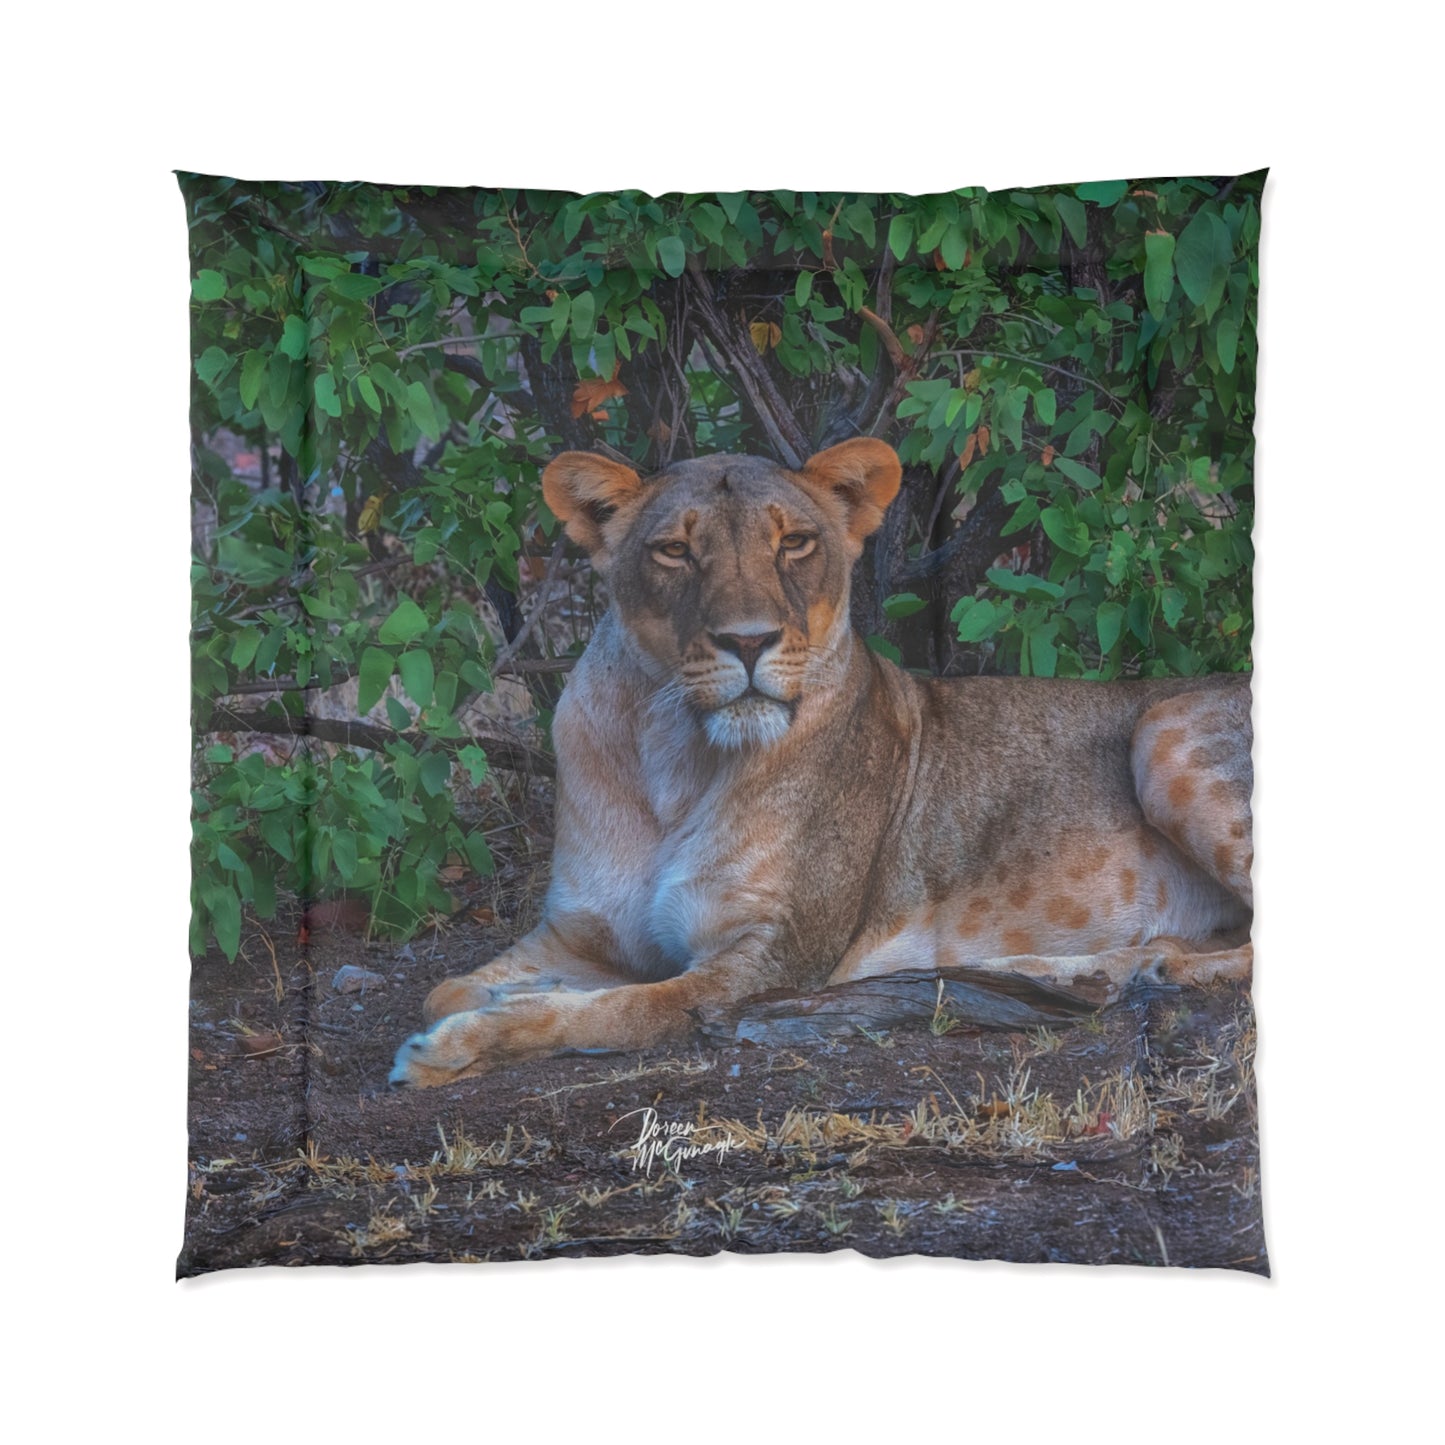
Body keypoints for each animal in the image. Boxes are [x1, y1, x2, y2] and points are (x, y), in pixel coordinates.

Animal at [389, 438, 1252, 1087]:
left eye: (793, 543)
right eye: (674, 551)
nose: (746, 641)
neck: (674, 754)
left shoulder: (765, 962)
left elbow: (619, 1008)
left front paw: (451, 1049)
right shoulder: (578, 935)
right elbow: (442, 987)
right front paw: (461, 1018)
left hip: (1162, 728)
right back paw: (1081, 971)